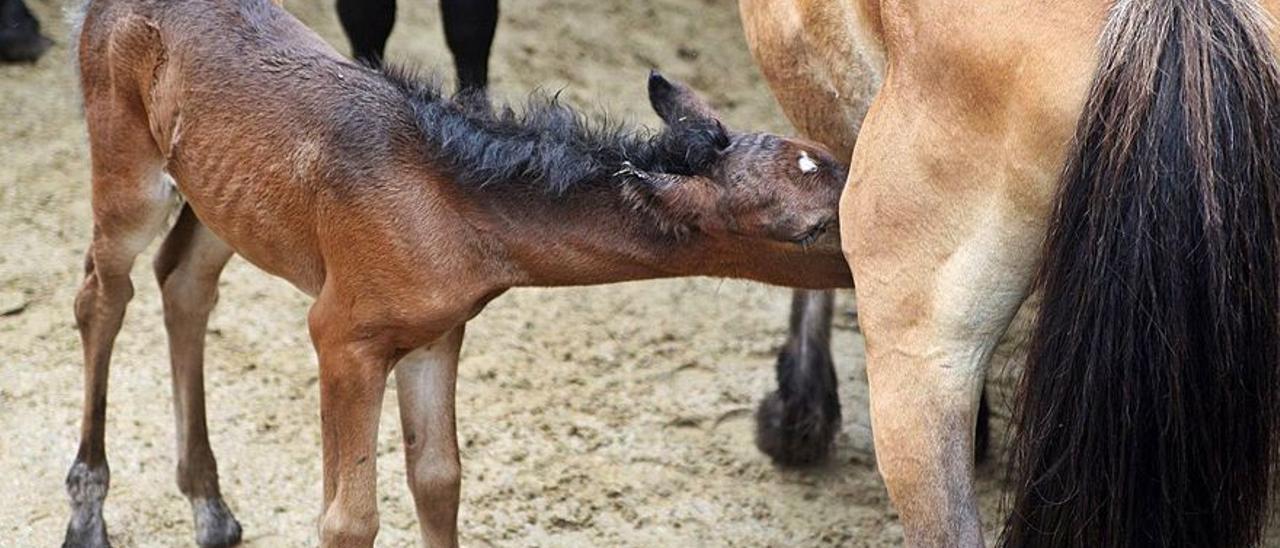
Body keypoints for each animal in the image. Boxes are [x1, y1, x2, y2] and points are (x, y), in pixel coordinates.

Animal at [64, 0, 855, 542]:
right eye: (808, 229)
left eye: (832, 159)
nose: (872, 233)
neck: (450, 202)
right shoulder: (341, 337)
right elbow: (348, 517)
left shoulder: (434, 335)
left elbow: (439, 480)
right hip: (129, 170)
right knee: (103, 292)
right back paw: (88, 514)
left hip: (222, 197)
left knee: (184, 281)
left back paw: (209, 505)